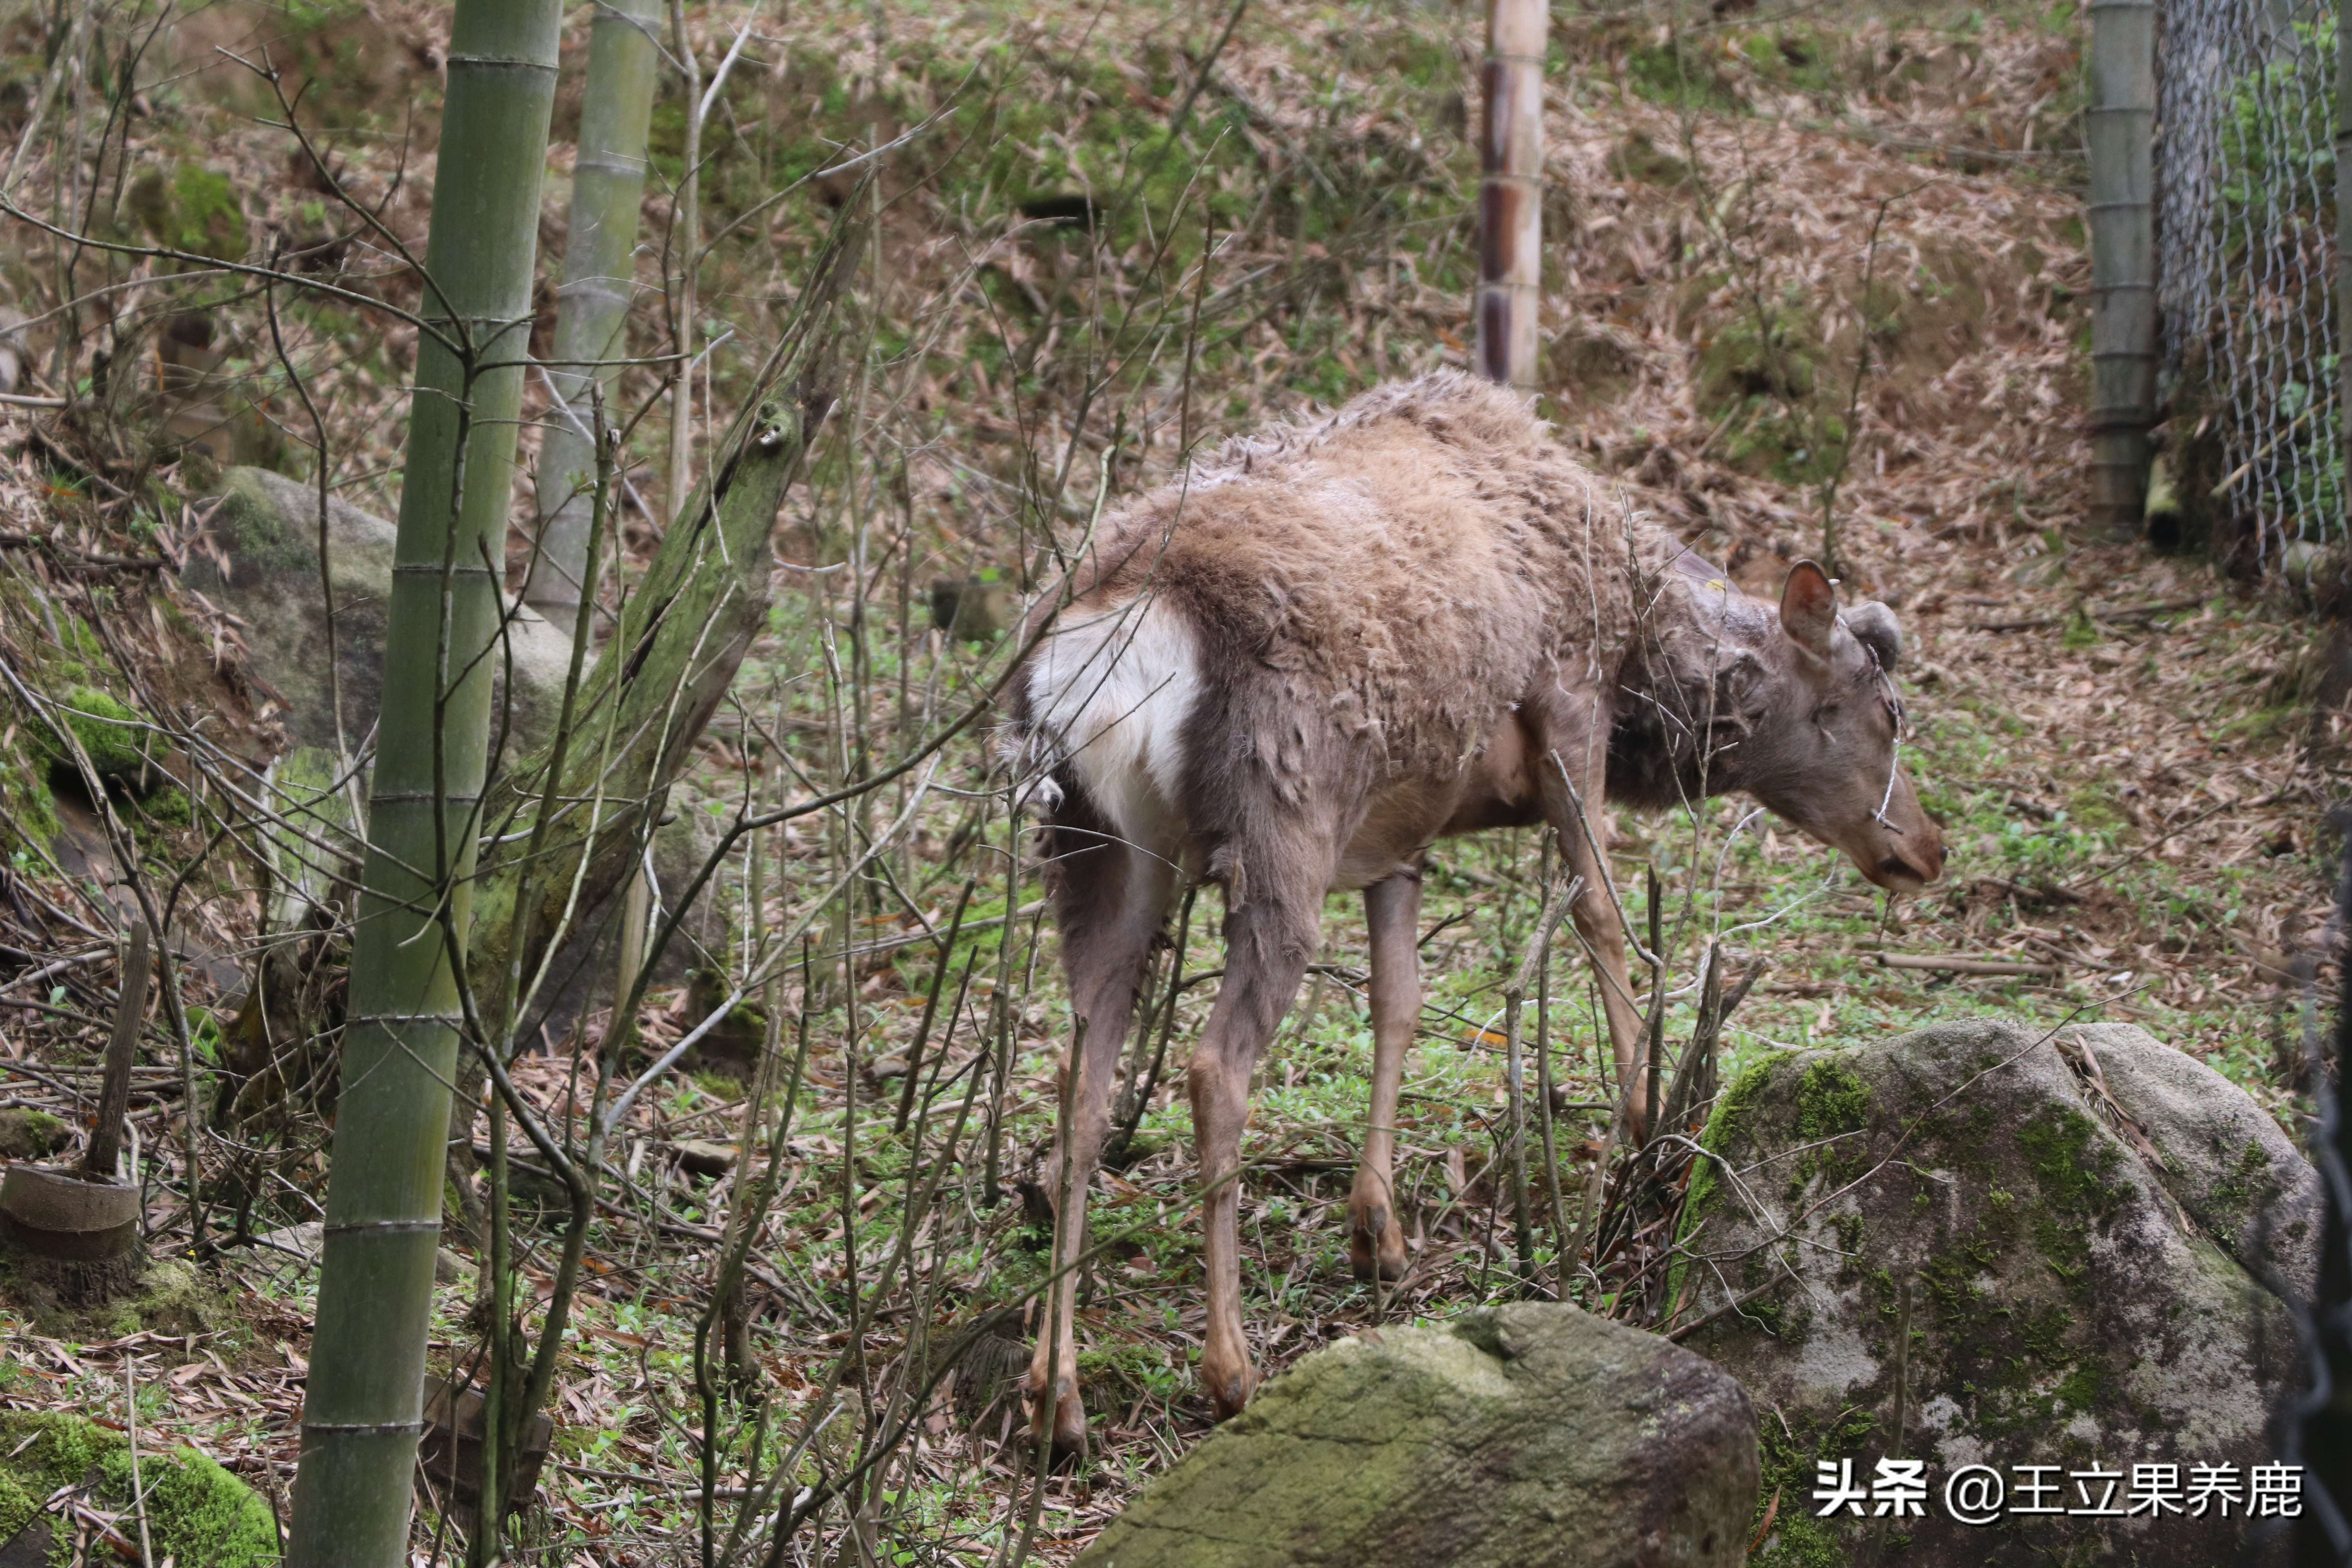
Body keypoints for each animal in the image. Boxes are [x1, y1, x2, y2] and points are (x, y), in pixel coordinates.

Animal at [1001, 372, 1944, 1452]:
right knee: (1213, 1066)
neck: (1644, 661)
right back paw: (1229, 1370)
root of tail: (1114, 636)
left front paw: (1379, 1229)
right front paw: (1645, 1123)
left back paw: (1056, 1394)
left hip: (1095, 846)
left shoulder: (1398, 832)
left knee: (1078, 1075)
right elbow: (1598, 912)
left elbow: (1399, 1001)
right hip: (1281, 817)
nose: (1928, 848)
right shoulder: (1567, 699)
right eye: (1887, 710)